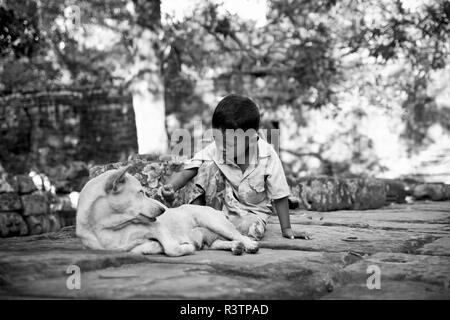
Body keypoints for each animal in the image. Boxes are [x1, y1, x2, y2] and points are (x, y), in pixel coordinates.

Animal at [76, 166, 258, 256]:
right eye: (140, 192)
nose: (163, 209)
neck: (107, 226)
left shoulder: (158, 227)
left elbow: (171, 249)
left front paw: (184, 248)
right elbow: (137, 249)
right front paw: (152, 246)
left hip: (214, 222)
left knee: (239, 235)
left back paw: (249, 244)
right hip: (212, 238)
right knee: (220, 242)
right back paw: (236, 247)